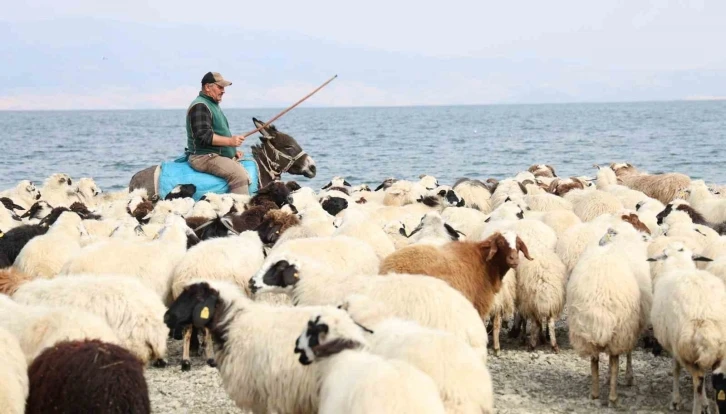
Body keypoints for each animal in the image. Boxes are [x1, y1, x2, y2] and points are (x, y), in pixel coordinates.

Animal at [382, 233, 536, 320]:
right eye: (500, 243)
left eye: (518, 245)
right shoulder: (478, 305)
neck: (485, 263)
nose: (513, 259)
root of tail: (386, 266)